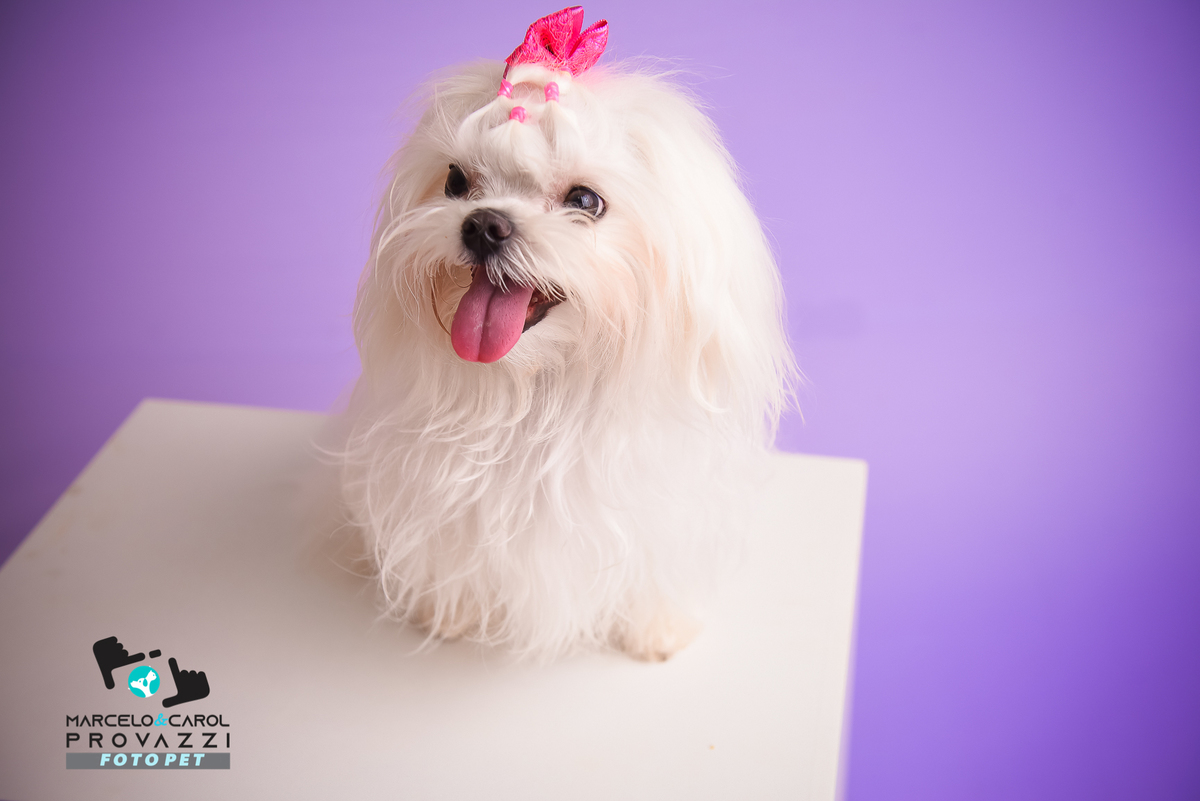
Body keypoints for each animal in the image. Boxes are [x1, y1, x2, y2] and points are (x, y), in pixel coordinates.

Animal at [341, 7, 794, 661]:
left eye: (585, 199)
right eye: (456, 181)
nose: (484, 225)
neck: (541, 393)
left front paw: (654, 625)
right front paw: (451, 610)